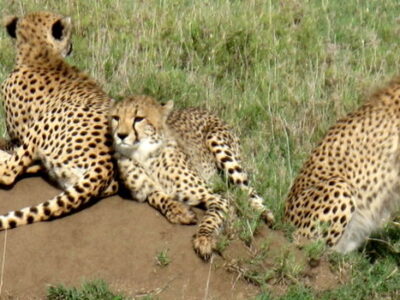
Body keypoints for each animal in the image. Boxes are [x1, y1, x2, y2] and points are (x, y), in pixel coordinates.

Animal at [0, 10, 119, 229]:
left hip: (48, 120)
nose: (71, 46)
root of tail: (106, 166)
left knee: (9, 173)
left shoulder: (20, 134)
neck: (41, 54)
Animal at [110, 96, 276, 260]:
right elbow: (157, 196)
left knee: (247, 189)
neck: (143, 155)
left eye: (138, 118)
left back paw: (266, 214)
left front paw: (204, 239)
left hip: (218, 144)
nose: (121, 135)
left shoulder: (218, 197)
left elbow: (212, 216)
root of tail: (202, 109)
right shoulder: (146, 190)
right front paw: (180, 211)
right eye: (116, 118)